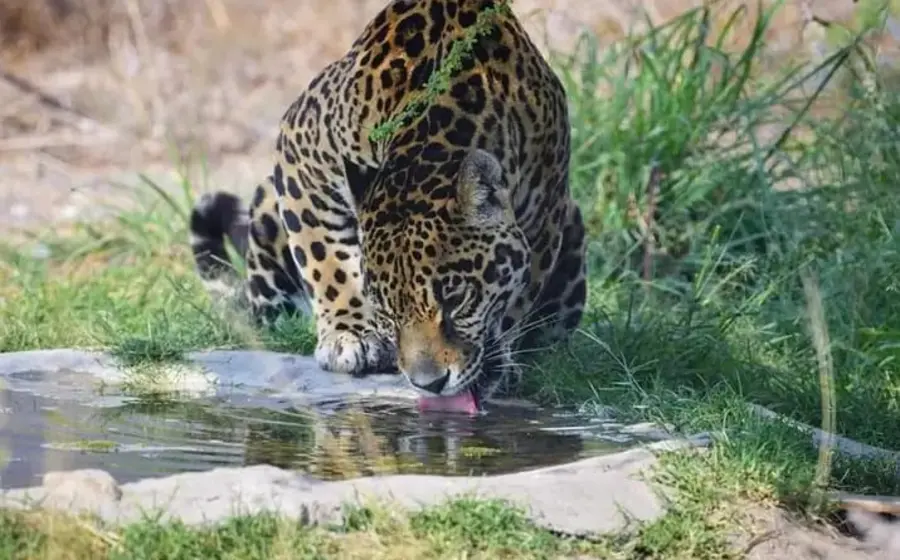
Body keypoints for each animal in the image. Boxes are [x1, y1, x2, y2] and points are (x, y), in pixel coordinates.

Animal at [188, 0, 588, 413]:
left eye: (456, 299)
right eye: (387, 311)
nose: (429, 384)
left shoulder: (548, 210)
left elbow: (521, 292)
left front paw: (498, 358)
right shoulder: (302, 141)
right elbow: (323, 257)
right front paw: (347, 336)